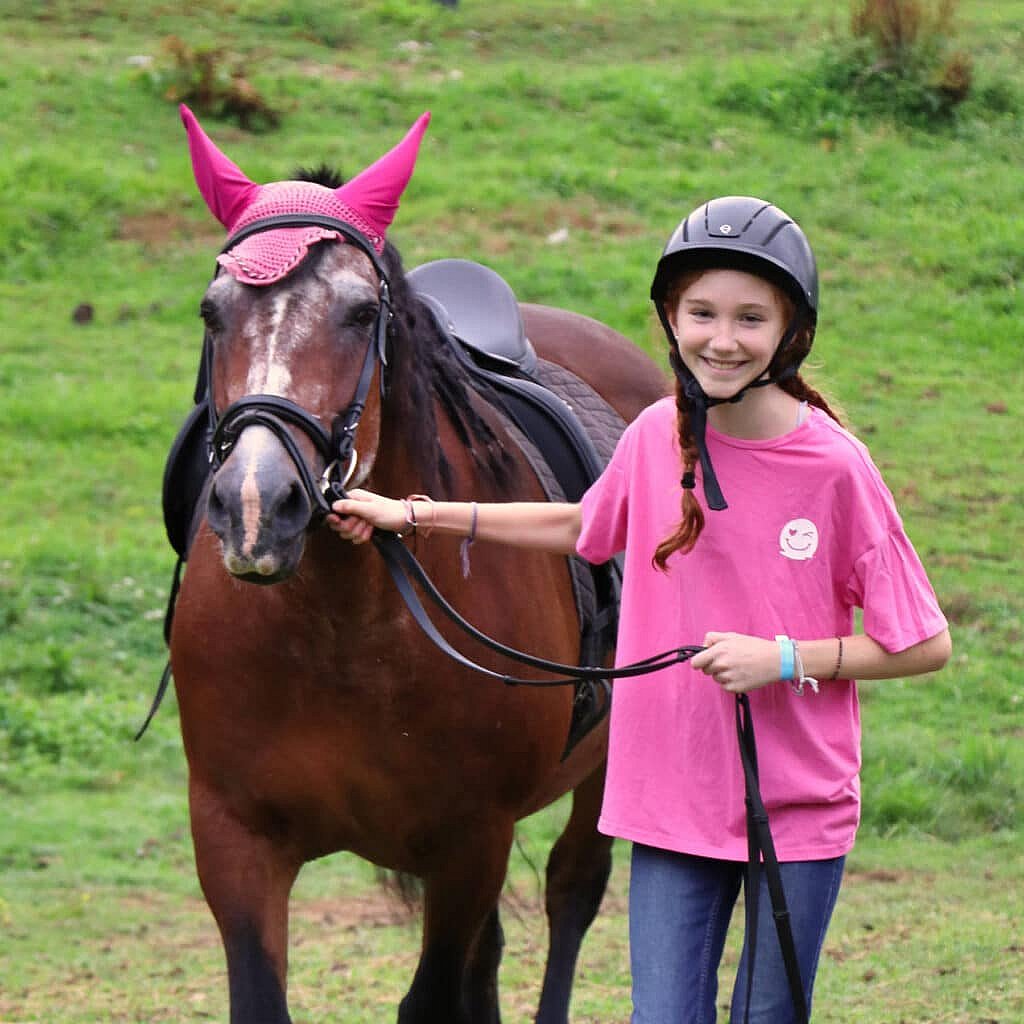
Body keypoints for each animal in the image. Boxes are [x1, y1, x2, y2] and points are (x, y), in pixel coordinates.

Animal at [166, 108, 669, 1024]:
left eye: (362, 312)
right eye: (213, 313)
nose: (257, 504)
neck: (341, 631)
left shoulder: (470, 842)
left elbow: (436, 994)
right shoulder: (232, 838)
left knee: (573, 890)